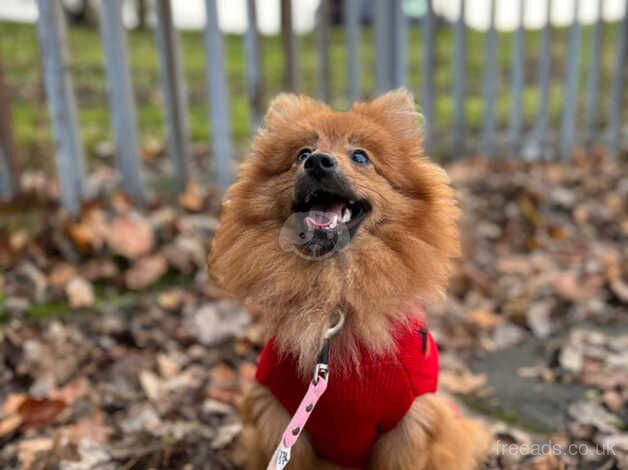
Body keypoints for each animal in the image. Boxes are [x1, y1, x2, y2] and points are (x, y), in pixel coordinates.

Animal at [209, 90, 494, 468]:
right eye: (302, 154)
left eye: (360, 156)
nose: (318, 162)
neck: (334, 289)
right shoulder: (282, 419)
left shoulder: (406, 427)